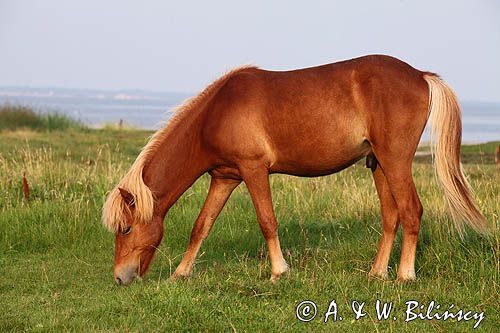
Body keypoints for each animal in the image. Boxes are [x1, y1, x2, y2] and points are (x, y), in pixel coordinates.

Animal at [101, 54, 488, 286]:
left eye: (125, 229)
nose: (120, 278)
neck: (217, 112)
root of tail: (420, 75)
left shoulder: (254, 170)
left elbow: (267, 221)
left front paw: (278, 272)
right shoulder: (225, 177)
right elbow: (202, 226)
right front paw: (180, 274)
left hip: (396, 162)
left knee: (411, 211)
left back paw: (405, 276)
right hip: (378, 164)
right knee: (391, 216)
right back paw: (376, 274)